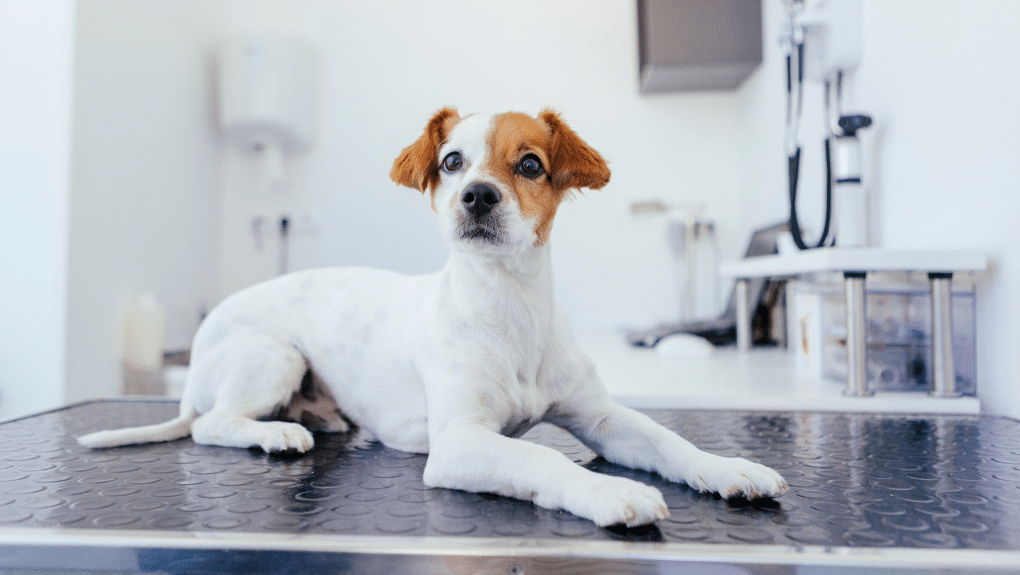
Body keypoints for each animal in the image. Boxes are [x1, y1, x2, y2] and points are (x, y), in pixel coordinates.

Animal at [79, 108, 787, 526]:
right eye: (452, 162)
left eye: (530, 163)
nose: (477, 195)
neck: (507, 309)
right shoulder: (459, 443)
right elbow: (541, 459)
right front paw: (609, 493)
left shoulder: (601, 418)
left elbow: (669, 441)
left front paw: (730, 468)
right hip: (273, 357)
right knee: (212, 424)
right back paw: (276, 433)